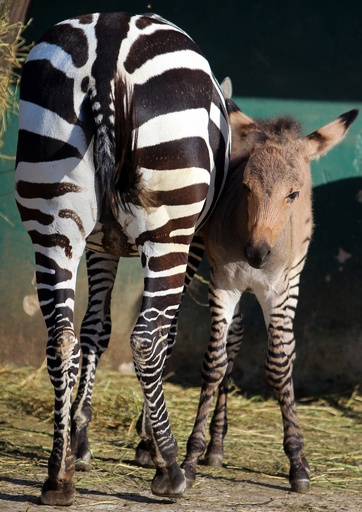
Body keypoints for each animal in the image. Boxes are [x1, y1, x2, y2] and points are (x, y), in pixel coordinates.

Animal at [14, 11, 229, 504]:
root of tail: (107, 47)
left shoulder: (100, 247)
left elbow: (96, 329)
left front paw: (80, 437)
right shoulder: (191, 243)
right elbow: (166, 337)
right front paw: (147, 443)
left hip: (52, 215)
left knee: (62, 340)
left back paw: (59, 477)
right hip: (170, 227)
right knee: (147, 339)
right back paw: (171, 470)